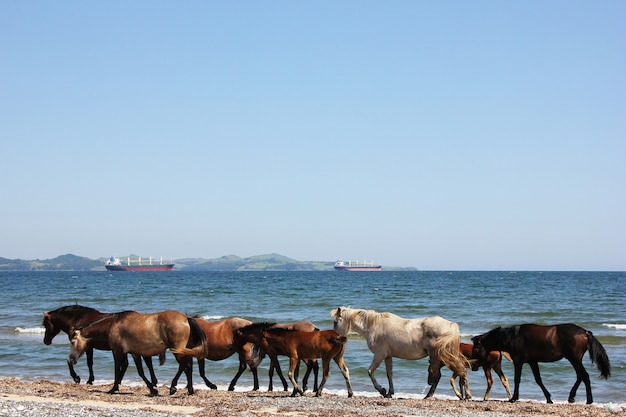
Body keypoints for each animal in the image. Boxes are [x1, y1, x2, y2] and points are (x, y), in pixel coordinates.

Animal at [68, 310, 206, 394]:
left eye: (73, 342)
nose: (70, 359)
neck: (113, 325)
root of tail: (186, 318)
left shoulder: (117, 351)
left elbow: (117, 369)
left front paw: (113, 388)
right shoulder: (134, 353)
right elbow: (140, 371)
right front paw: (152, 389)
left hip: (177, 349)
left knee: (184, 366)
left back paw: (173, 387)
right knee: (187, 366)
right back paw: (190, 390)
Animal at [332, 306, 468, 400]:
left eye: (335, 322)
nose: (335, 336)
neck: (373, 326)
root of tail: (451, 325)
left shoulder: (379, 355)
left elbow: (370, 372)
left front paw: (382, 390)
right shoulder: (387, 356)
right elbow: (389, 374)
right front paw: (389, 393)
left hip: (435, 356)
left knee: (438, 376)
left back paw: (429, 396)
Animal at [470, 322, 608, 404]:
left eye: (475, 348)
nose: (474, 366)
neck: (513, 337)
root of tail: (585, 332)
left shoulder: (518, 361)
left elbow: (517, 379)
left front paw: (514, 398)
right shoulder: (532, 361)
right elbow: (538, 380)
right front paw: (548, 398)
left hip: (574, 359)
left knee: (584, 376)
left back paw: (586, 399)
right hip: (574, 360)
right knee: (581, 376)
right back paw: (574, 397)